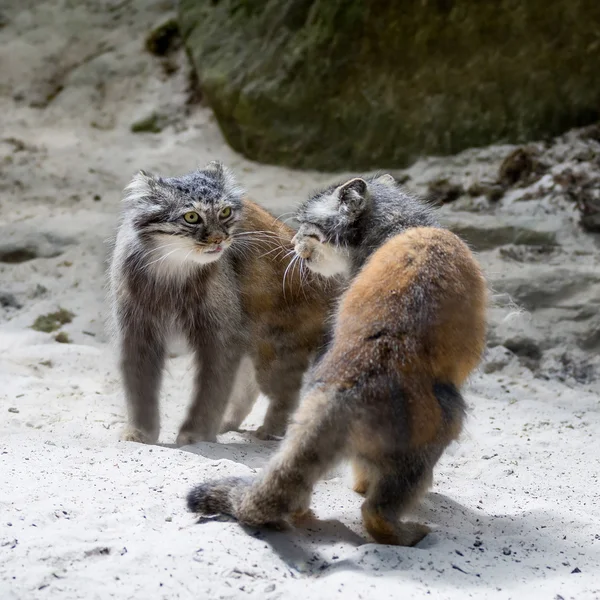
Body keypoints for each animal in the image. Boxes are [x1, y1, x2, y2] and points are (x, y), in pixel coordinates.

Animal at [109, 162, 338, 442]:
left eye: (225, 212)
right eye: (192, 217)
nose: (220, 238)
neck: (171, 271)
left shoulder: (221, 334)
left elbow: (210, 390)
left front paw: (195, 433)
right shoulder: (137, 329)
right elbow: (140, 387)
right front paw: (140, 431)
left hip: (274, 349)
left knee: (286, 394)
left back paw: (270, 430)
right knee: (249, 390)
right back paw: (228, 424)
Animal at [188, 176, 488, 548]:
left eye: (306, 226)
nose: (294, 243)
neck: (401, 225)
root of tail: (348, 380)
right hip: (436, 420)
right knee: (379, 507)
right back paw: (395, 526)